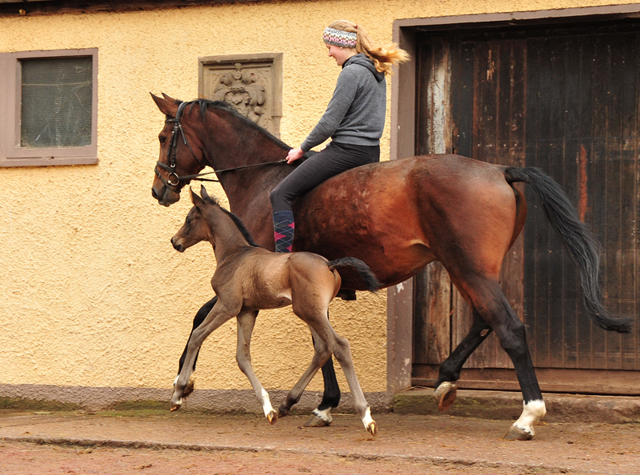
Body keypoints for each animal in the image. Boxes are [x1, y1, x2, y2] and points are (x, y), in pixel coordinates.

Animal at [170, 186, 380, 436]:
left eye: (188, 219)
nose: (174, 241)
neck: (235, 255)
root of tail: (329, 264)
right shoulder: (247, 311)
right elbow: (242, 356)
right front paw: (268, 408)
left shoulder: (227, 305)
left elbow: (197, 335)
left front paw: (178, 392)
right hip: (311, 312)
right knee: (322, 350)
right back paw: (287, 404)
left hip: (310, 312)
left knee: (339, 346)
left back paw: (366, 417)